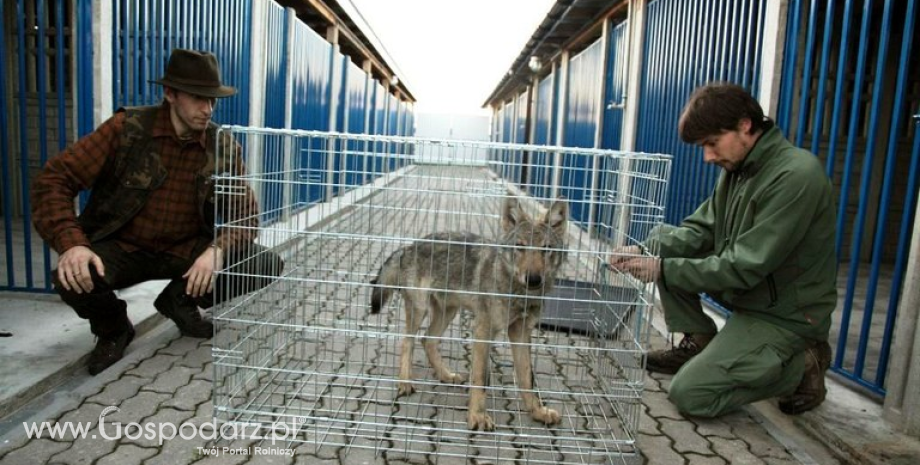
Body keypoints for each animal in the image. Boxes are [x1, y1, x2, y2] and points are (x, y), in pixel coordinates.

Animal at [366, 196, 568, 432]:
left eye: (546, 249)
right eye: (520, 247)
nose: (534, 279)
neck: (518, 292)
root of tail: (409, 246)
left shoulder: (521, 333)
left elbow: (527, 377)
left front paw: (537, 411)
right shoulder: (483, 331)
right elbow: (480, 378)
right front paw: (477, 417)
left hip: (448, 313)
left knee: (427, 340)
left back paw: (446, 375)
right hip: (420, 310)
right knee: (407, 342)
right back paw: (405, 382)